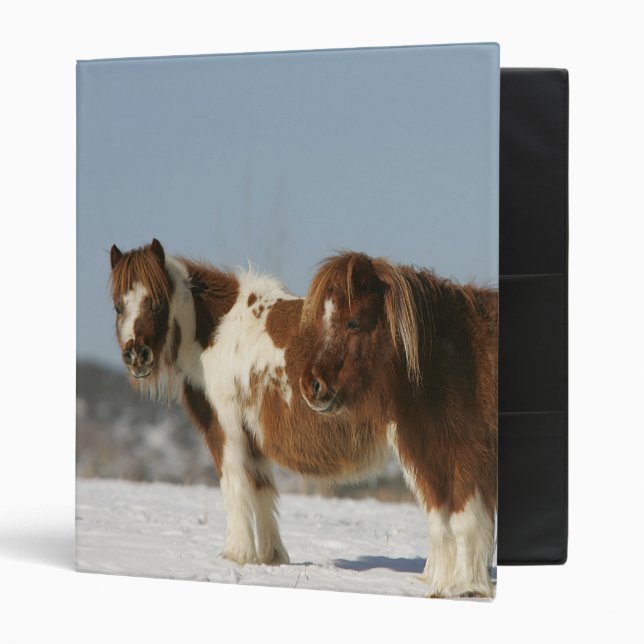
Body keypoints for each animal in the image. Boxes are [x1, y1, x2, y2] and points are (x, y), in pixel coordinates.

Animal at [109, 239, 389, 566]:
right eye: (118, 306)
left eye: (156, 302)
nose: (136, 355)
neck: (216, 332)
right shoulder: (252, 436)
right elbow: (260, 487)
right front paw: (271, 556)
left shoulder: (226, 428)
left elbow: (235, 484)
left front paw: (236, 554)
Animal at [299, 251, 498, 598]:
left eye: (353, 322)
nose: (312, 385)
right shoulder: (428, 460)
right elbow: (439, 523)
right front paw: (440, 584)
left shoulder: (469, 459)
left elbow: (463, 521)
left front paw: (466, 586)